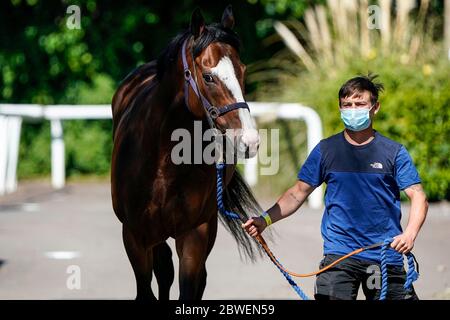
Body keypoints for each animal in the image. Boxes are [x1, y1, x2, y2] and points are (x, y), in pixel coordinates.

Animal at [111, 5, 268, 300]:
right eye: (208, 76)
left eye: (242, 70)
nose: (250, 141)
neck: (161, 163)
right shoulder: (135, 236)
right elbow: (147, 289)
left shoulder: (195, 233)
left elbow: (189, 288)